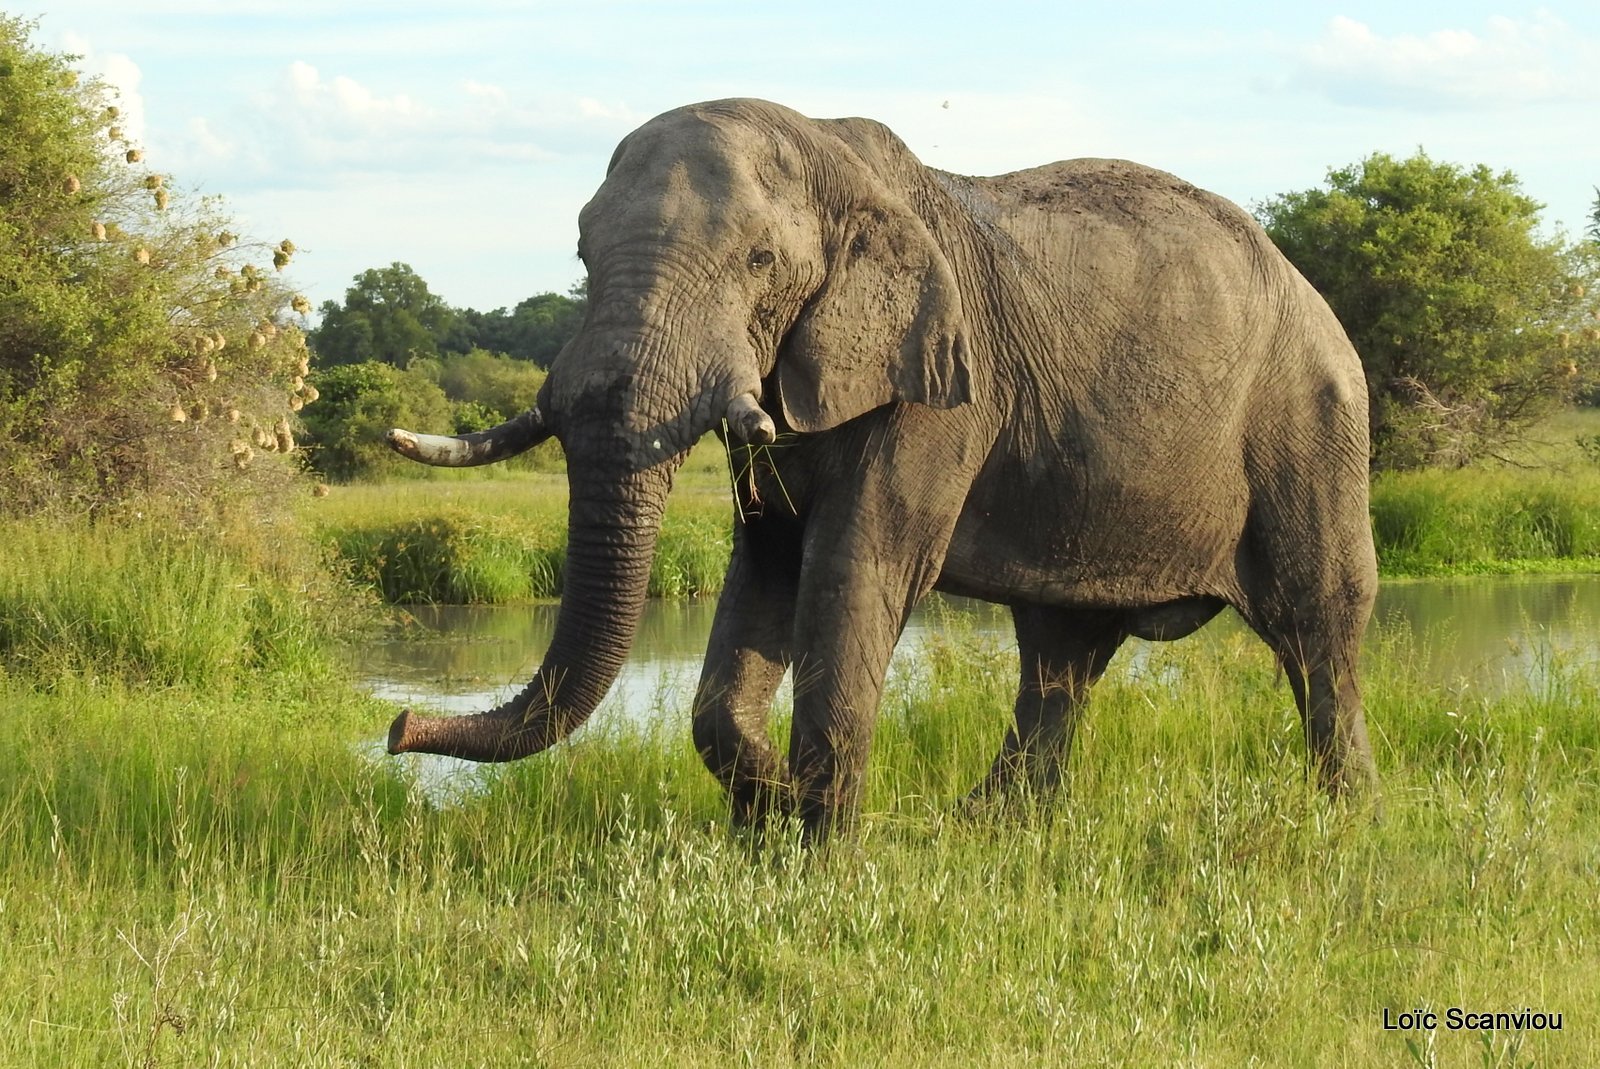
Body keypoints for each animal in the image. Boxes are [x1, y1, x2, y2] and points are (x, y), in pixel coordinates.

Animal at [384, 98, 1376, 832]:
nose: (396, 726)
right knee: (1062, 651)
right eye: (583, 252)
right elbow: (766, 566)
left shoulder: (938, 391)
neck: (831, 159)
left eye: (761, 260)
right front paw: (775, 813)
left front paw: (818, 847)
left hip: (1312, 423)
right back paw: (985, 829)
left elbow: (855, 564)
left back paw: (1346, 822)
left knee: (1317, 622)